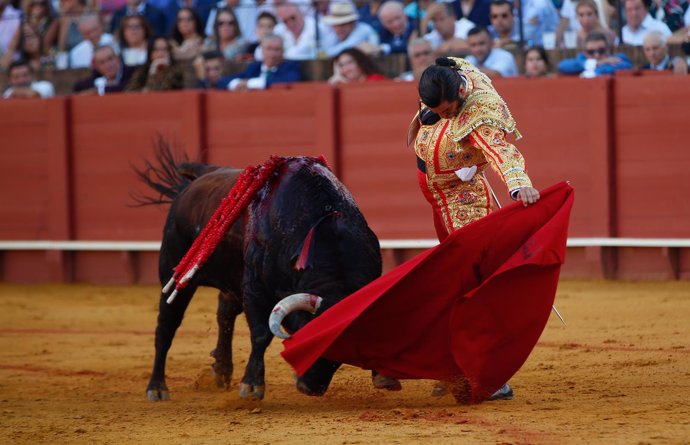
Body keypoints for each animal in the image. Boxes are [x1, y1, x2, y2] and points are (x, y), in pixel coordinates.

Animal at [134, 147, 398, 400]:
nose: (311, 388)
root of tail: (191, 185)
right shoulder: (255, 287)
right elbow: (261, 334)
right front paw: (252, 386)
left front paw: (385, 376)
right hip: (175, 271)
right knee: (166, 326)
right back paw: (157, 388)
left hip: (232, 280)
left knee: (224, 315)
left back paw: (221, 370)